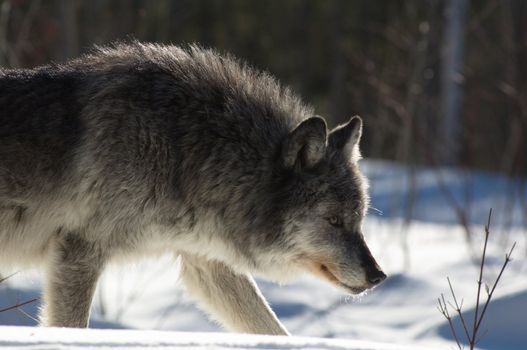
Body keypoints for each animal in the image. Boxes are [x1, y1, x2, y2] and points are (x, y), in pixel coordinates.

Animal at [1, 42, 388, 334]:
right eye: (334, 221)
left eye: (358, 221)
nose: (378, 276)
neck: (185, 153)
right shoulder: (80, 251)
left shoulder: (207, 263)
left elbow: (273, 329)